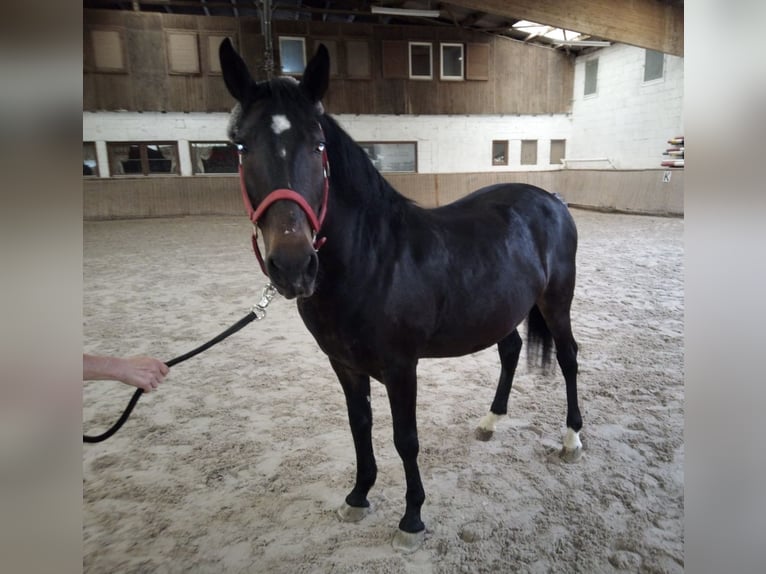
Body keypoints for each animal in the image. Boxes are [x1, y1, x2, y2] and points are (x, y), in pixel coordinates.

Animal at [219, 39, 584, 552]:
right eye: (240, 146)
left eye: (318, 145)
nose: (292, 266)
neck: (373, 260)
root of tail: (552, 199)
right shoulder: (345, 365)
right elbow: (360, 425)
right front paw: (358, 496)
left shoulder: (400, 367)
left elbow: (405, 438)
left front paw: (412, 518)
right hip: (501, 310)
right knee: (511, 350)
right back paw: (490, 422)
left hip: (556, 302)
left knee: (569, 357)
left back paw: (571, 439)